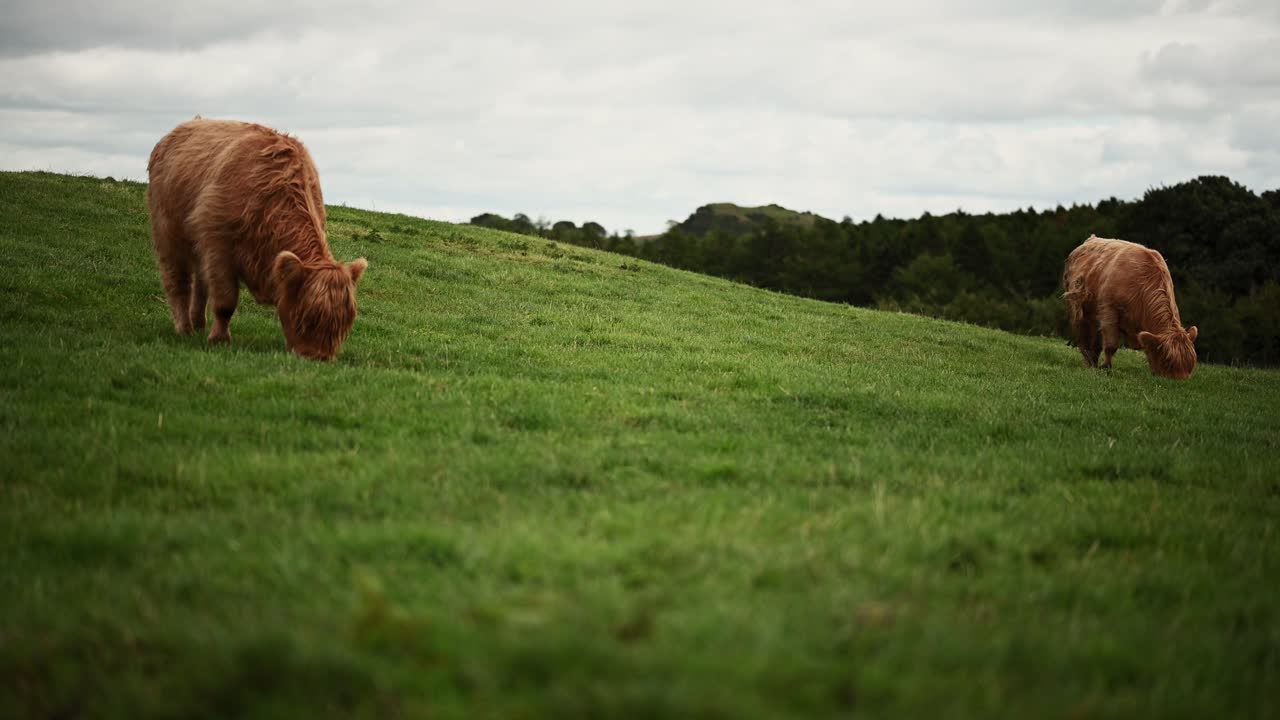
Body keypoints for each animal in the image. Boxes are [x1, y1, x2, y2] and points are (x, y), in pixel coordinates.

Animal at [146, 118, 367, 361]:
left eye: (344, 322)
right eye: (309, 316)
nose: (319, 357)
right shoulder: (218, 245)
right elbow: (225, 300)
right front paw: (219, 339)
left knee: (201, 282)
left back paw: (198, 324)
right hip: (168, 230)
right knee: (178, 280)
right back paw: (185, 328)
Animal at [1062, 235, 1198, 379]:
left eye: (1190, 367)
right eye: (1167, 363)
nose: (1179, 381)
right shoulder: (1109, 310)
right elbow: (1111, 344)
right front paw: (1106, 367)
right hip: (1079, 310)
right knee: (1085, 338)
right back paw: (1089, 363)